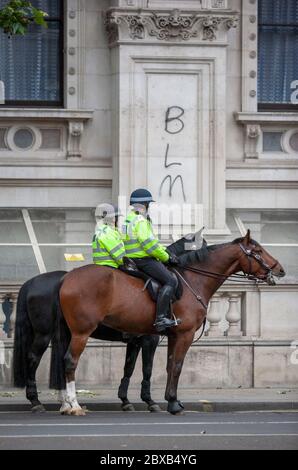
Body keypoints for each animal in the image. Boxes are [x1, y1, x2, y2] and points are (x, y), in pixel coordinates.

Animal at [12, 272, 161, 412]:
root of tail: (30, 283)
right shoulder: (150, 340)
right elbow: (147, 369)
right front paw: (149, 401)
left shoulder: (135, 341)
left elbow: (129, 368)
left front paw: (125, 400)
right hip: (44, 334)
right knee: (34, 359)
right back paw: (37, 401)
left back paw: (63, 402)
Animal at [57, 230, 284, 414]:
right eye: (258, 251)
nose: (280, 270)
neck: (193, 279)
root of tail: (66, 278)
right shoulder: (183, 334)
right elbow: (176, 365)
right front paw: (173, 403)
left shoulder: (172, 335)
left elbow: (168, 365)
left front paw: (168, 399)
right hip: (81, 332)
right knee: (70, 361)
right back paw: (74, 405)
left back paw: (66, 404)